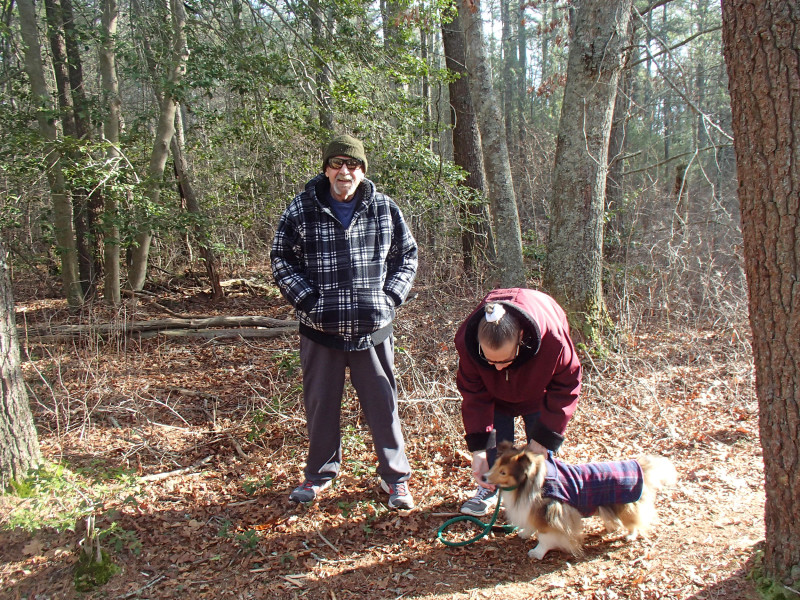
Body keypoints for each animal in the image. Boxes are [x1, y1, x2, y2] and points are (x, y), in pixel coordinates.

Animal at [484, 442, 680, 560]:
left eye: (503, 472)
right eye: (496, 464)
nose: (484, 478)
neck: (529, 483)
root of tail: (638, 465)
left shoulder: (550, 514)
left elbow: (545, 536)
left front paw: (537, 552)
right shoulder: (533, 509)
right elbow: (531, 525)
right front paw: (525, 533)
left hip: (626, 506)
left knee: (635, 521)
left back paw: (630, 535)